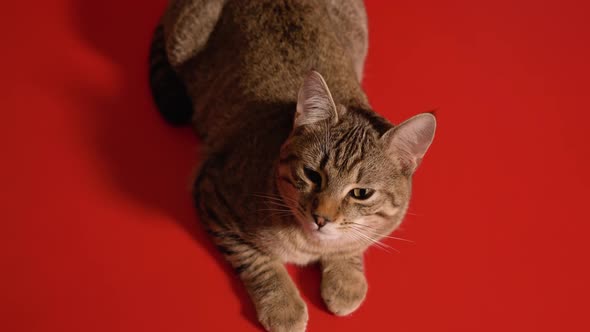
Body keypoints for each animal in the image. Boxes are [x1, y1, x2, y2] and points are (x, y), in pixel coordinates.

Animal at [149, 1, 434, 330]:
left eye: (361, 193)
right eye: (312, 175)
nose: (321, 218)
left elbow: (353, 244)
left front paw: (345, 279)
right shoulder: (213, 192)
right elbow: (256, 259)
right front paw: (283, 304)